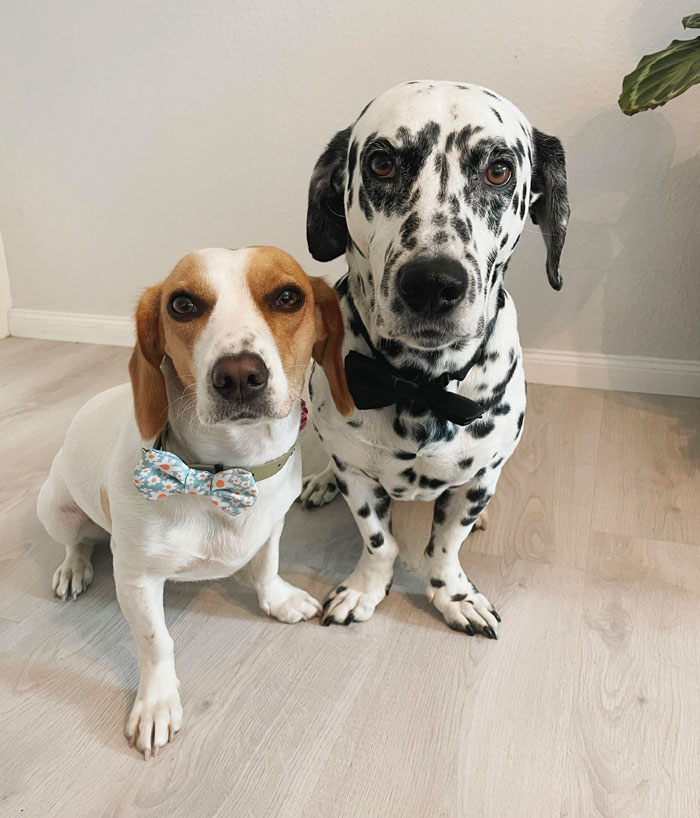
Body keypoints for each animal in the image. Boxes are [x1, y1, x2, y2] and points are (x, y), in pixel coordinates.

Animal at [37, 245, 350, 756]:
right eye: (182, 304)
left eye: (288, 296)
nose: (239, 375)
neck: (226, 472)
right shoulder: (137, 578)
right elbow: (156, 643)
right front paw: (157, 704)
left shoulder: (273, 526)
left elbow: (266, 567)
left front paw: (277, 599)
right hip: (55, 508)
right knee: (77, 541)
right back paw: (73, 567)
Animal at [300, 79, 568, 636]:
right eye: (382, 163)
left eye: (498, 169)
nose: (432, 283)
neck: (418, 385)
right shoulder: (358, 477)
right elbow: (379, 541)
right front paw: (364, 589)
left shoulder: (477, 481)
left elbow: (445, 546)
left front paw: (455, 596)